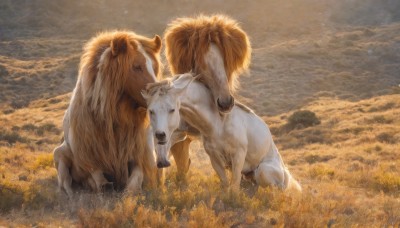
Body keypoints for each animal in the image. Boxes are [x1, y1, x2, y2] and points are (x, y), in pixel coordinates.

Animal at [53, 30, 162, 196]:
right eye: (136, 66)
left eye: (154, 67)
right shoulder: (86, 158)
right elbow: (98, 180)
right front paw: (97, 184)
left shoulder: (141, 157)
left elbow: (134, 183)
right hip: (59, 153)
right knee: (66, 184)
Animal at [142, 74, 302, 191]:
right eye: (151, 111)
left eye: (172, 109)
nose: (160, 135)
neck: (218, 123)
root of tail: (285, 171)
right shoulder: (214, 158)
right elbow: (225, 184)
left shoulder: (238, 155)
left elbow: (234, 186)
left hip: (264, 170)